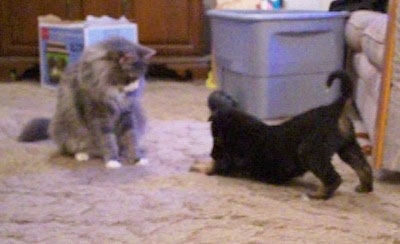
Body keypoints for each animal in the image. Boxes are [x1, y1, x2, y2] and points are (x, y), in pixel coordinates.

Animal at [19, 37, 155, 169]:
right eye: (130, 78)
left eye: (140, 77)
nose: (136, 87)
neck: (114, 92)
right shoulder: (99, 116)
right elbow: (107, 140)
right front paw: (112, 160)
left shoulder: (127, 114)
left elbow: (131, 138)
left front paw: (137, 159)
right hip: (67, 131)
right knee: (70, 150)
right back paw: (82, 155)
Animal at [192, 70, 374, 200]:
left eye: (217, 139)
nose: (212, 154)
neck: (243, 131)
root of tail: (335, 107)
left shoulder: (229, 163)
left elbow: (212, 167)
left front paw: (197, 165)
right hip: (348, 146)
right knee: (364, 168)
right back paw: (365, 188)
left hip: (310, 151)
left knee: (334, 178)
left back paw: (318, 195)